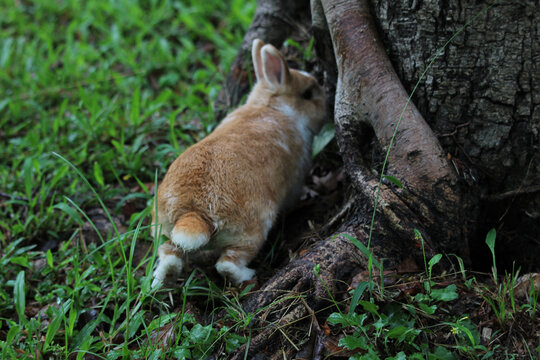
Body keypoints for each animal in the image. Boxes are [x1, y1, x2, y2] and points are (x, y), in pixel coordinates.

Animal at [152, 38, 326, 286]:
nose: (326, 105)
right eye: (308, 94)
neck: (271, 105)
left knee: (169, 255)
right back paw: (249, 275)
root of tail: (194, 213)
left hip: (166, 233)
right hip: (251, 234)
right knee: (227, 264)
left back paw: (160, 280)